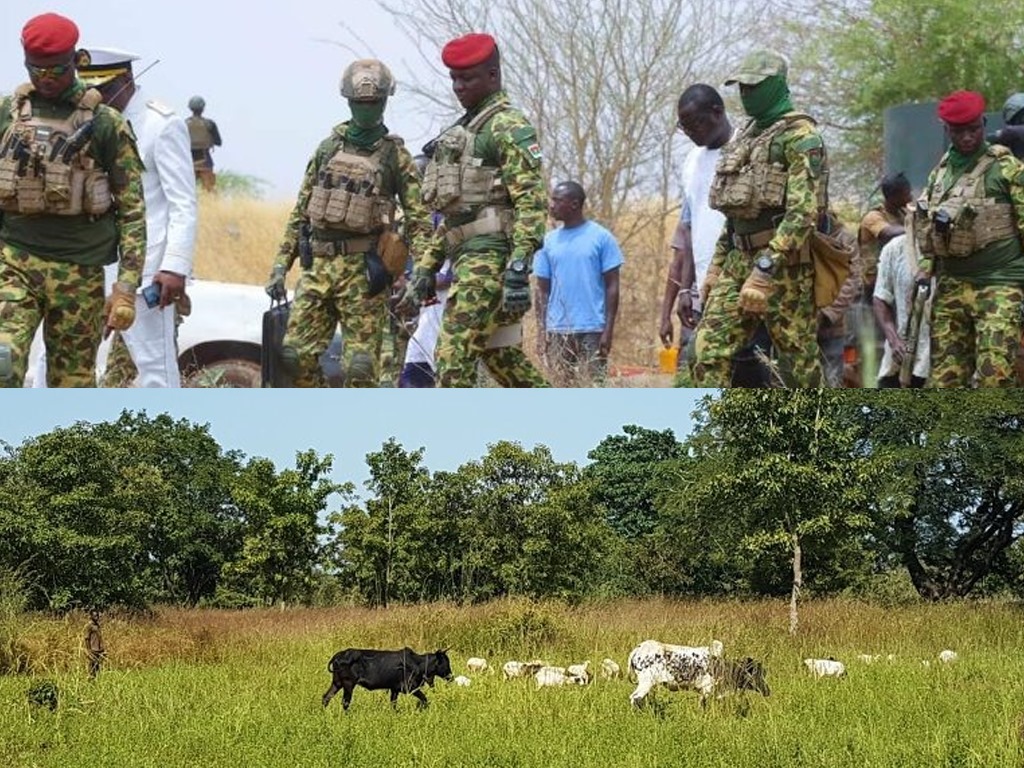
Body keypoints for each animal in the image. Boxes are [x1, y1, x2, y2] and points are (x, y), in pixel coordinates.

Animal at [319, 647, 448, 712]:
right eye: (444, 662)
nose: (450, 676)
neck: (418, 663)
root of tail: (337, 656)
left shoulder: (394, 689)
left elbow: (393, 704)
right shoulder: (409, 687)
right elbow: (424, 699)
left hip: (337, 683)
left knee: (326, 697)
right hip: (348, 684)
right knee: (345, 702)